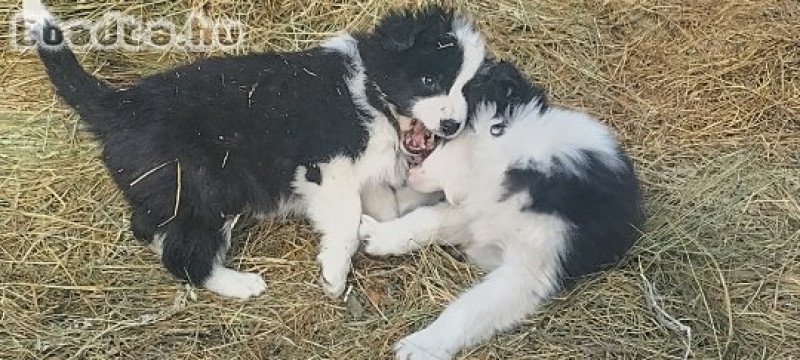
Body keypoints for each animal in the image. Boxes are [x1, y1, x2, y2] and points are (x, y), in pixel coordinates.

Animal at [358, 60, 644, 358]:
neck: (508, 155)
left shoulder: (527, 271)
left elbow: (469, 308)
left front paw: (421, 345)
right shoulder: (478, 210)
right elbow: (428, 220)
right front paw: (381, 236)